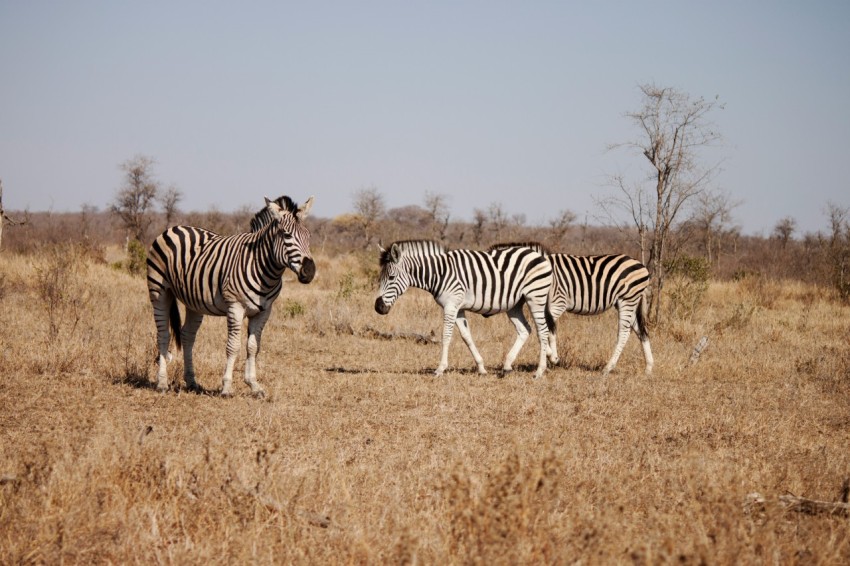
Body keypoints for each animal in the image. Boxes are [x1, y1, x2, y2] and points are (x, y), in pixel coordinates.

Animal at [146, 195, 314, 400]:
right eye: (287, 235)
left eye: (308, 236)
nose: (310, 271)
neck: (264, 269)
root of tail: (173, 228)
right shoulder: (235, 307)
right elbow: (233, 346)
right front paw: (226, 387)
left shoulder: (264, 311)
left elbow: (253, 346)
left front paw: (254, 385)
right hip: (159, 292)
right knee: (163, 334)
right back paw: (162, 383)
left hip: (194, 302)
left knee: (187, 336)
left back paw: (192, 382)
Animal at [374, 237, 552, 380]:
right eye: (380, 278)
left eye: (391, 277)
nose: (378, 307)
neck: (439, 273)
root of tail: (539, 255)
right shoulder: (458, 308)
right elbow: (467, 337)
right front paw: (481, 368)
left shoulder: (450, 305)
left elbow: (446, 336)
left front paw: (440, 369)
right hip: (514, 304)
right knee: (525, 329)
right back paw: (507, 367)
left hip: (535, 297)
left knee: (542, 331)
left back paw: (539, 371)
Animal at [486, 243, 652, 378]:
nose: (487, 313)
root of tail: (641, 265)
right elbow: (550, 330)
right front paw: (552, 357)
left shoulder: (557, 303)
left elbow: (549, 330)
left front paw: (552, 357)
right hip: (628, 302)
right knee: (640, 331)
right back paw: (649, 367)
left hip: (627, 300)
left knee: (624, 333)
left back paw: (607, 368)